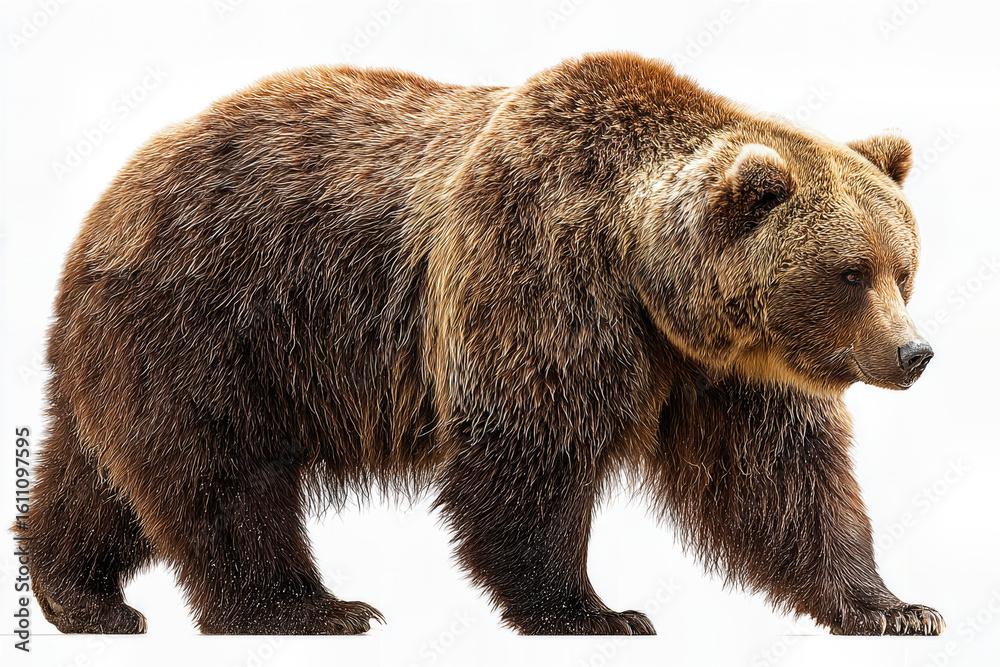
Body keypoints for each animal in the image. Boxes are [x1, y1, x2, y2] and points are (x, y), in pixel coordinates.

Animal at [20, 51, 942, 636]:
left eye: (904, 268)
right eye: (851, 271)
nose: (915, 353)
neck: (644, 275)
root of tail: (108, 201)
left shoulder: (719, 370)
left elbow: (780, 484)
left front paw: (895, 606)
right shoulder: (535, 276)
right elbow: (528, 455)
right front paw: (595, 610)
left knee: (99, 478)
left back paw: (80, 596)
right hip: (220, 317)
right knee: (220, 472)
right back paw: (306, 606)